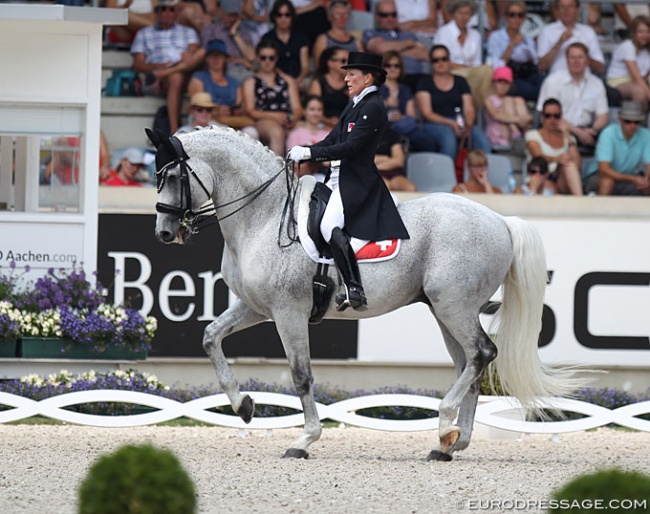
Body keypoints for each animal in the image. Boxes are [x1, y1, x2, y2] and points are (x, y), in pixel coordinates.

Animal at [147, 125, 584, 460]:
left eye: (174, 178)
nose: (164, 233)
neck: (265, 215)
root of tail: (500, 219)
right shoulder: (256, 307)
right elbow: (210, 337)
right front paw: (244, 407)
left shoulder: (288, 312)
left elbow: (301, 376)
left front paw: (304, 440)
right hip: (445, 310)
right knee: (469, 363)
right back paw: (449, 443)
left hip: (453, 306)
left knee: (481, 353)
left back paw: (445, 424)